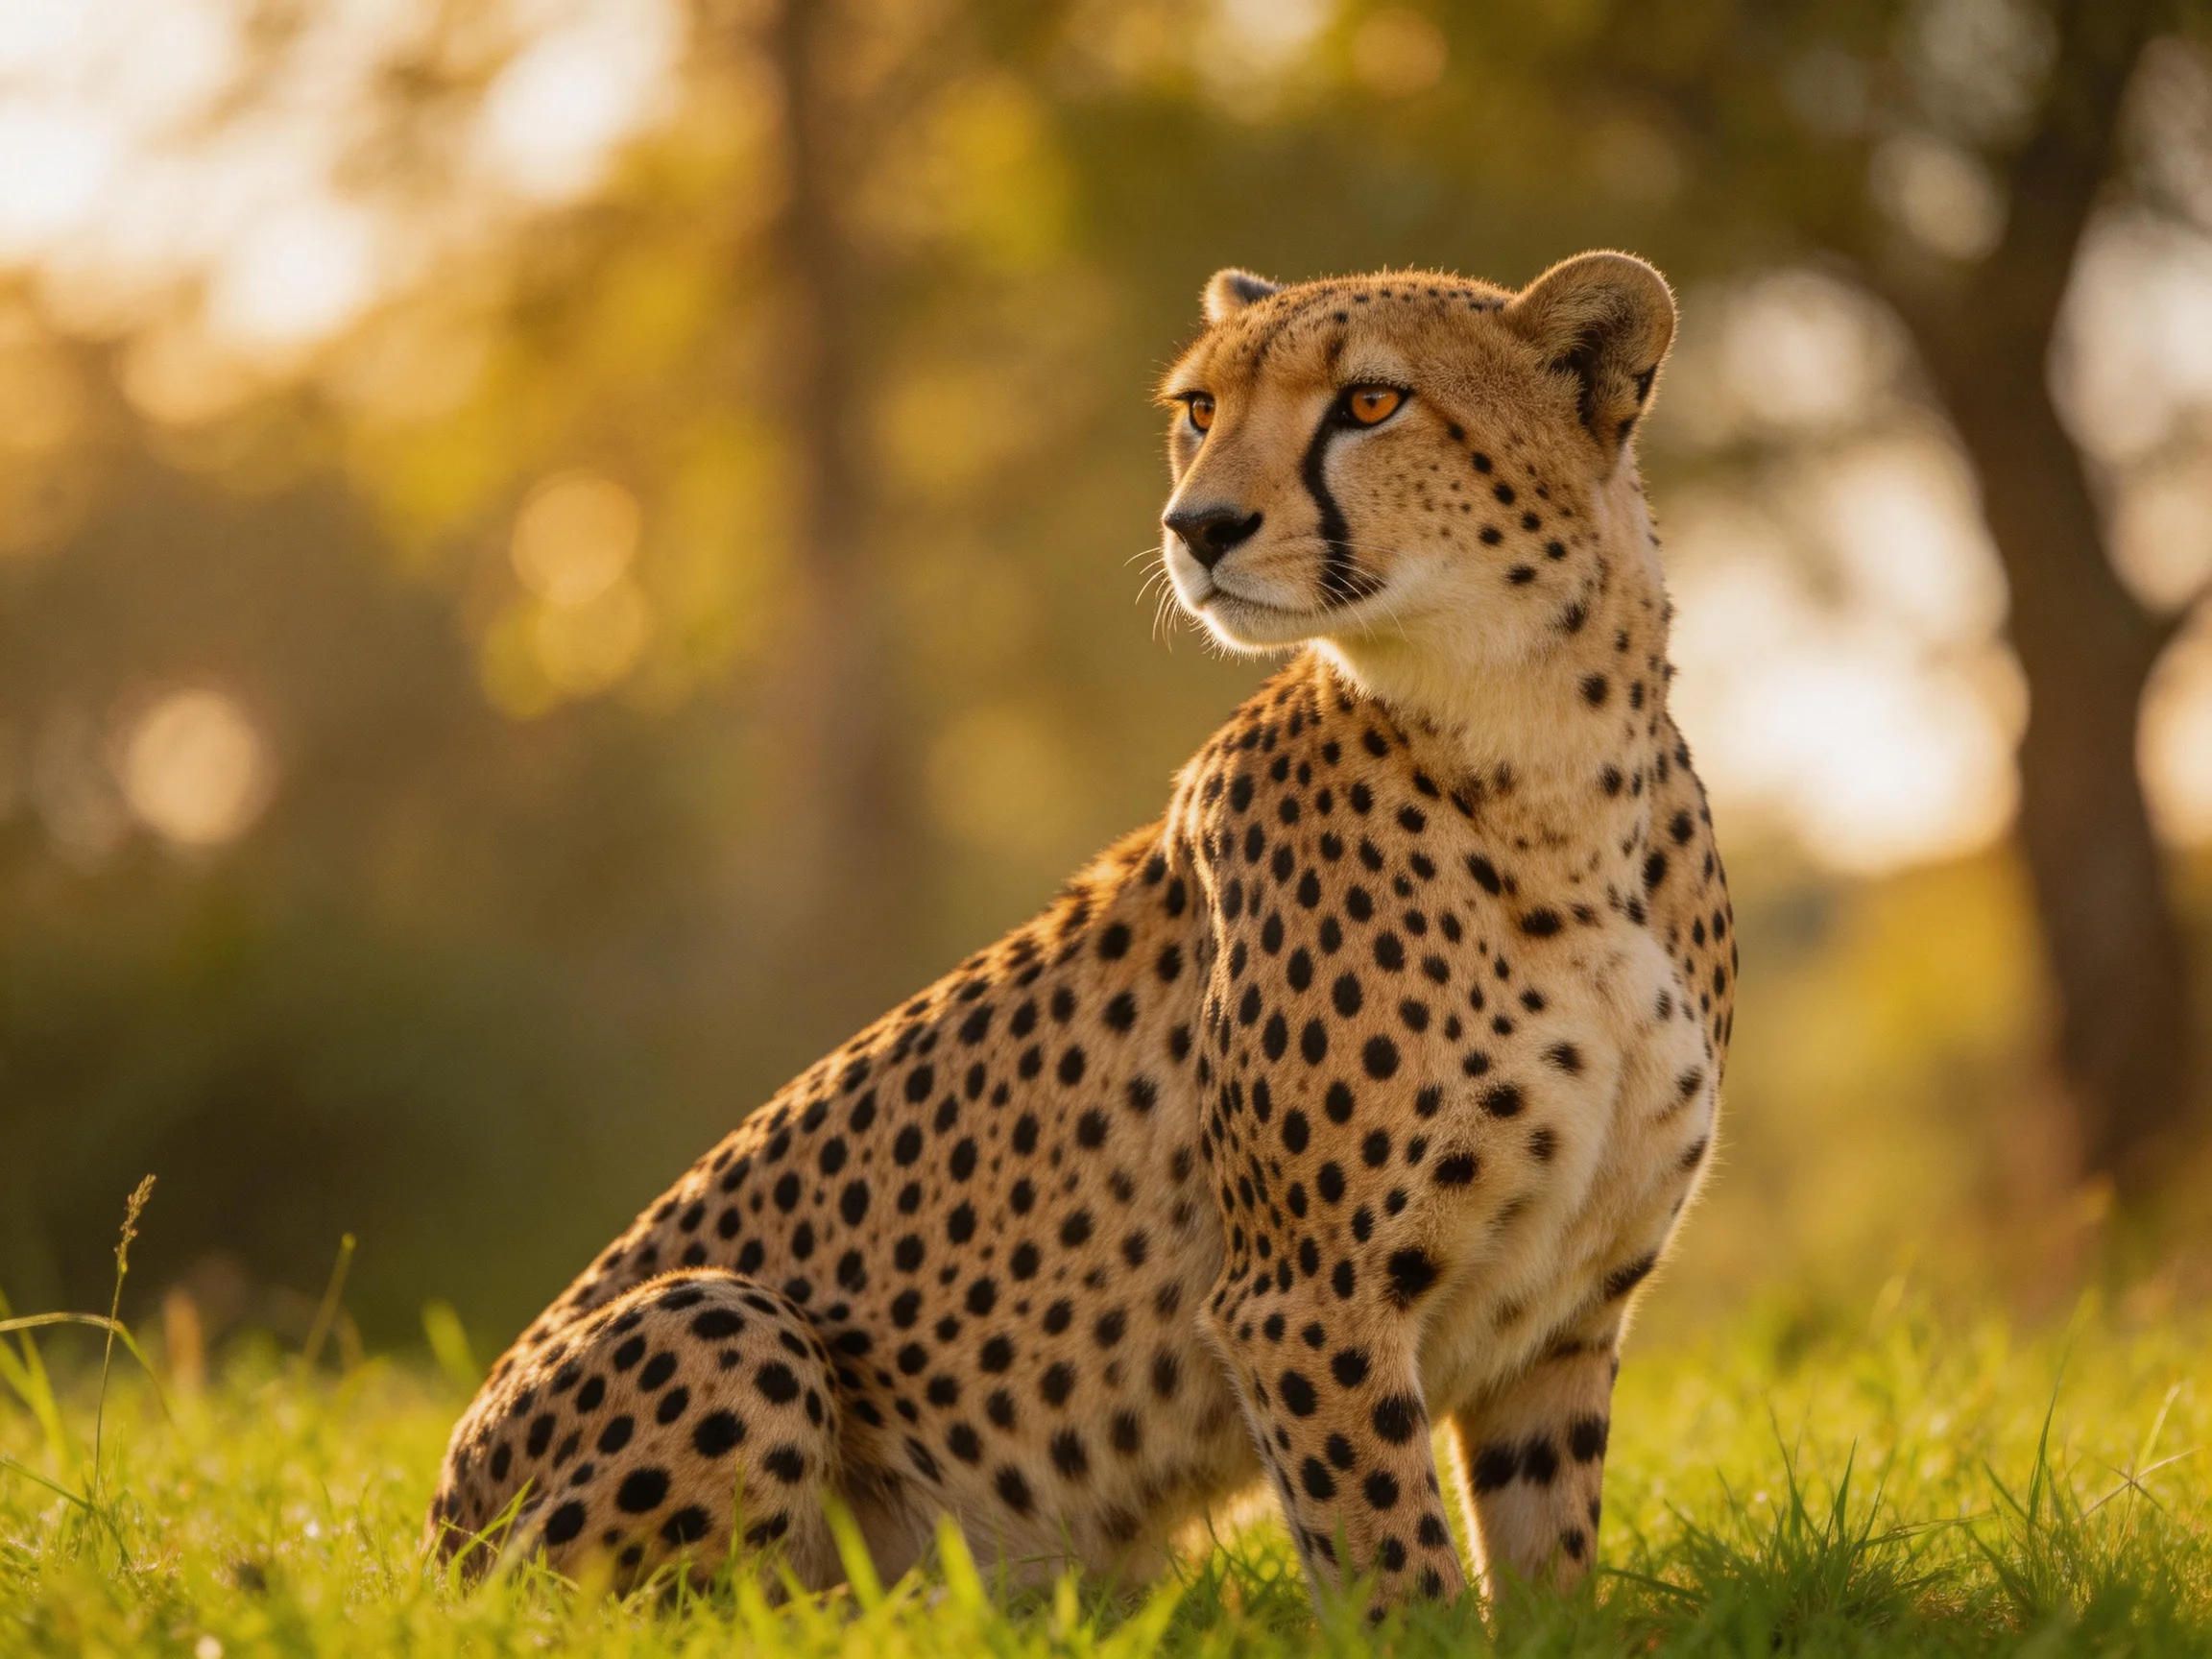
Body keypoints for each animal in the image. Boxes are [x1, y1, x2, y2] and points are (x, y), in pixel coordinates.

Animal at [425, 250, 1734, 1620]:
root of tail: (430, 1538)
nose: (1197, 528)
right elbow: (1397, 1571)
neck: (1552, 763)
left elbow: (1545, 1567)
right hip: (724, 1321)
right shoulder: (1303, 1300)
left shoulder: (1565, 1318)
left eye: (1372, 402)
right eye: (1201, 410)